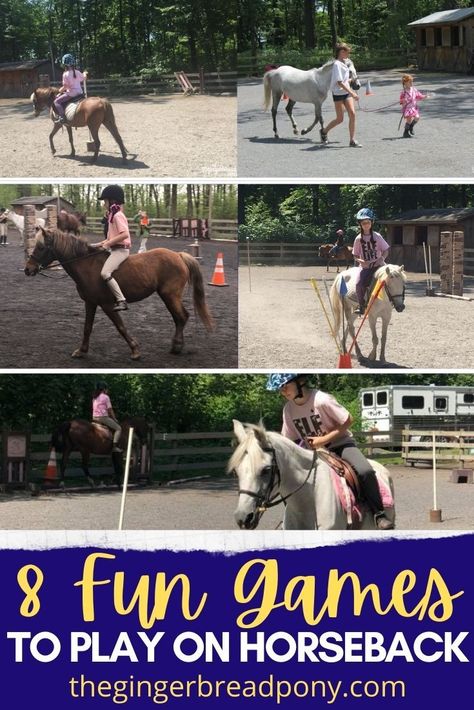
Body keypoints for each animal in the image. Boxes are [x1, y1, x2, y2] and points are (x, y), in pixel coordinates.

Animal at [24, 229, 213, 362]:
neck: (86, 265)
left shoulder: (107, 305)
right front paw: (81, 351)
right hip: (168, 296)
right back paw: (177, 345)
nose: (28, 269)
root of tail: (178, 255)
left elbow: (120, 326)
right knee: (180, 317)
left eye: (41, 247)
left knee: (181, 317)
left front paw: (135, 351)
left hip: (170, 295)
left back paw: (176, 346)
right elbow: (87, 327)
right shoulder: (90, 303)